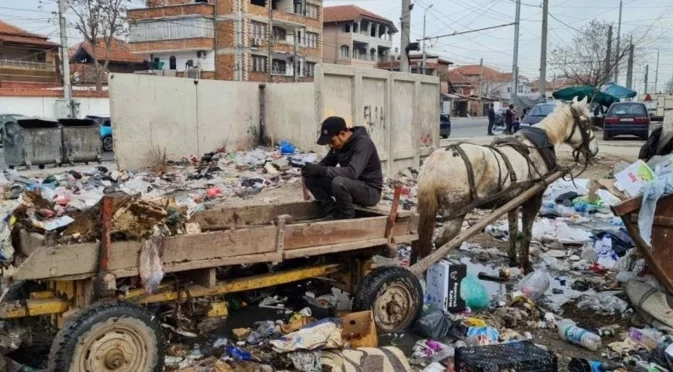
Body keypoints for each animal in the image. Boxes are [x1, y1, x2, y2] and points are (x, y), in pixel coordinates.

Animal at [414, 98, 600, 274]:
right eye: (587, 123)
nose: (595, 150)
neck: (538, 145)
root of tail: (434, 163)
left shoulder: (513, 201)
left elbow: (513, 229)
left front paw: (513, 260)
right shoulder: (533, 199)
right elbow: (527, 233)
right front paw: (526, 265)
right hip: (456, 212)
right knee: (441, 244)